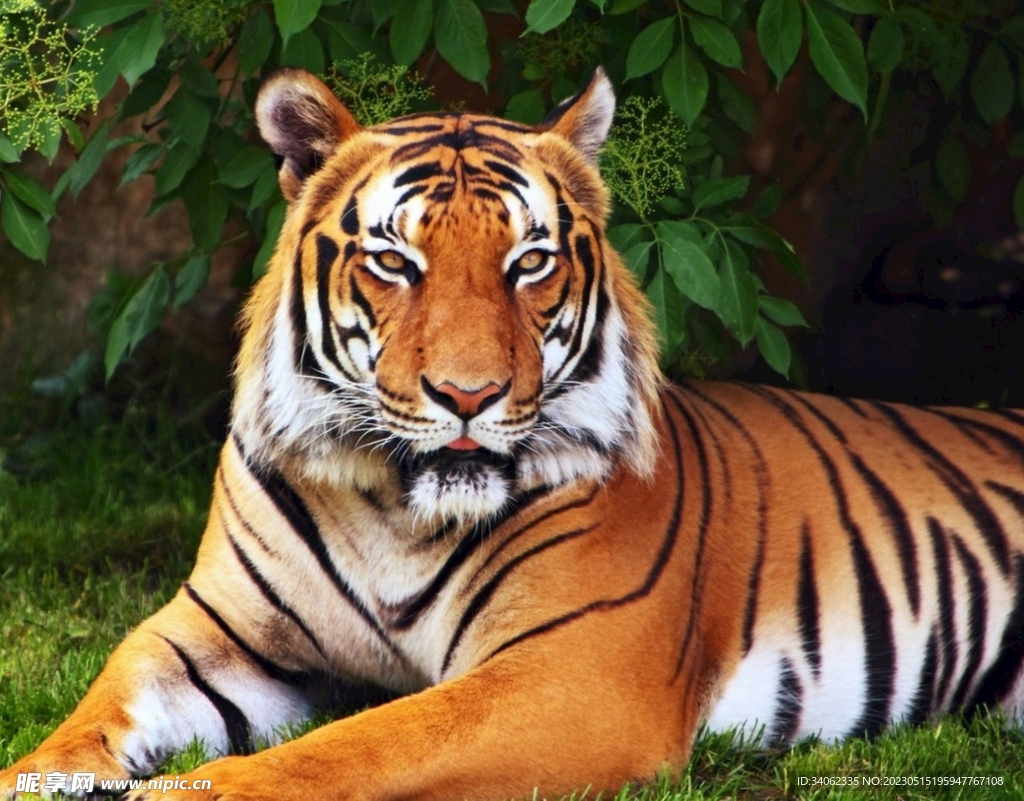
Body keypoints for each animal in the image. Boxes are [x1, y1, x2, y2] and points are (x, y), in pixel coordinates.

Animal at [3, 66, 1024, 801]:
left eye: (528, 262)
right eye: (395, 261)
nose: (469, 394)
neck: (392, 505)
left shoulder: (570, 671)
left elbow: (345, 751)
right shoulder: (211, 632)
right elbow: (82, 721)